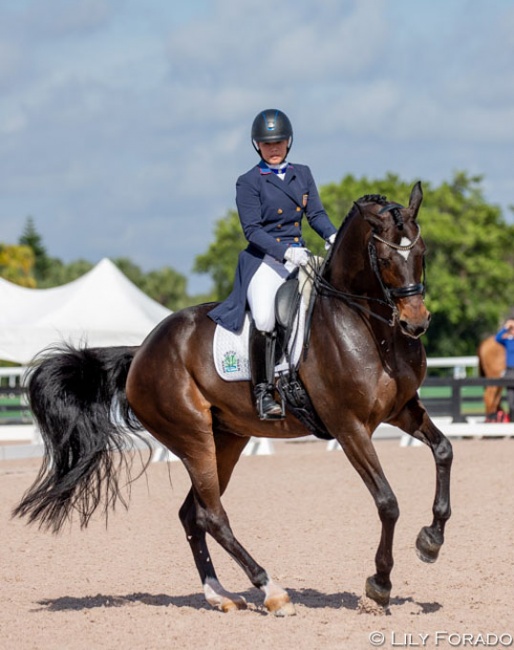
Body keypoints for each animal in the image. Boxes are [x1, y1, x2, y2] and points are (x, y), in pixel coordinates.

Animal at [14, 181, 450, 612]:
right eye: (385, 257)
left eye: (422, 252)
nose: (416, 323)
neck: (369, 329)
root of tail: (141, 352)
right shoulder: (349, 427)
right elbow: (387, 501)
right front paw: (379, 586)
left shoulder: (402, 409)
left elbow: (443, 450)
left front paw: (431, 541)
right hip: (193, 439)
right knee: (212, 516)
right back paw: (272, 591)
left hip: (227, 439)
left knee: (192, 514)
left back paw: (219, 594)